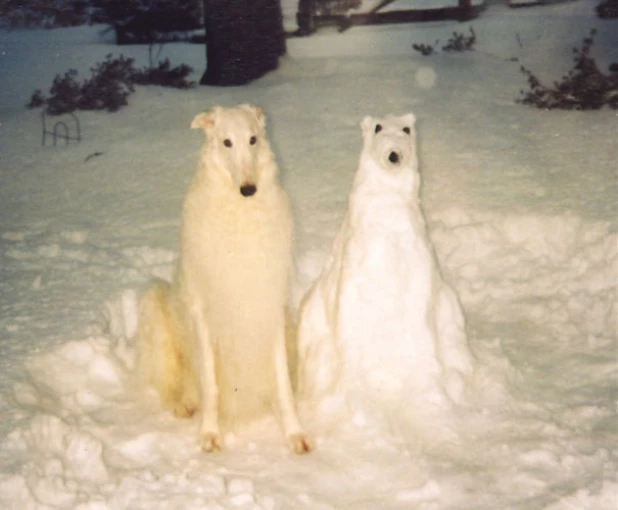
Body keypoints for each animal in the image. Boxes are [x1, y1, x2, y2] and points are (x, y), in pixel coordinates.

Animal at [141, 103, 312, 454]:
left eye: (253, 139)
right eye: (226, 142)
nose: (249, 189)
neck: (239, 216)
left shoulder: (269, 305)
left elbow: (282, 385)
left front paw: (294, 433)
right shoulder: (203, 314)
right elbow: (211, 386)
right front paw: (210, 434)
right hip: (154, 300)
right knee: (174, 385)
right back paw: (184, 403)